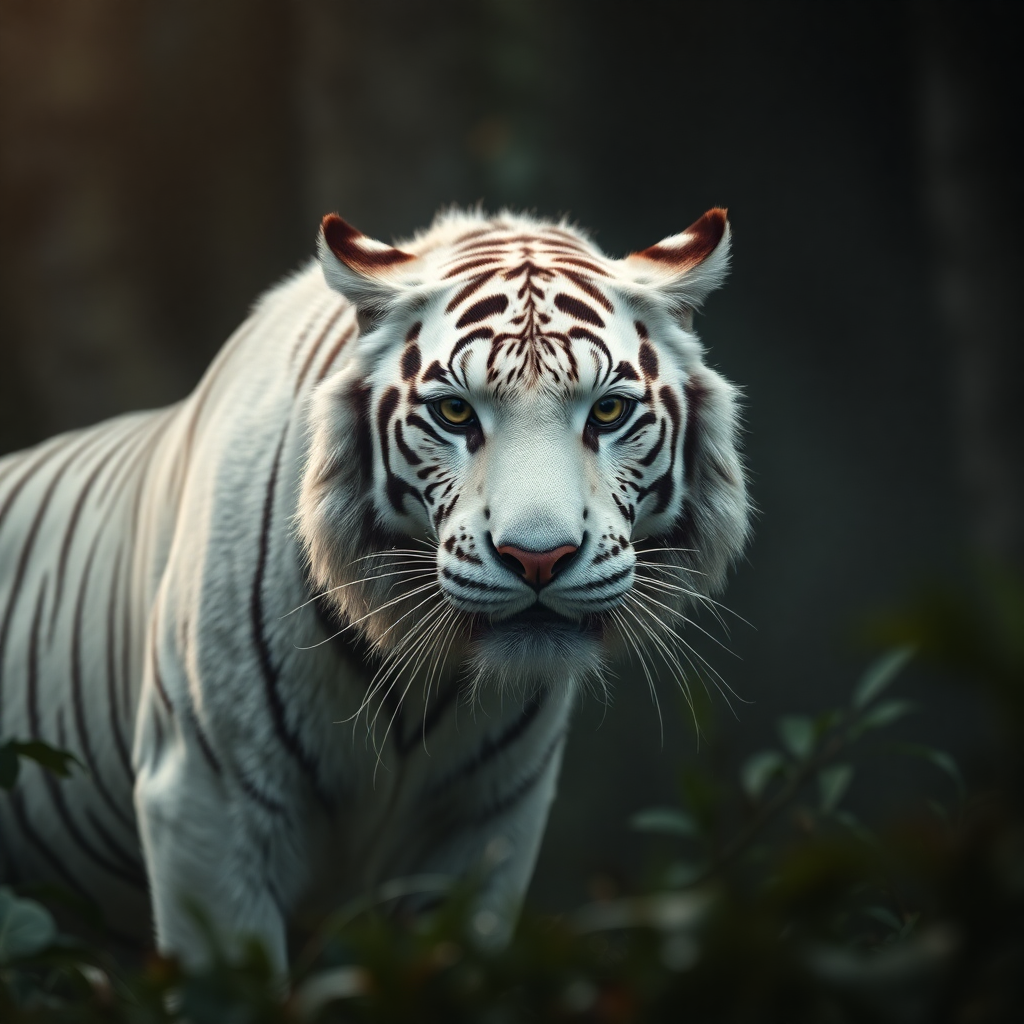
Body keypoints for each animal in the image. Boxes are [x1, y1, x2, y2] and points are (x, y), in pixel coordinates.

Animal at [0, 206, 749, 972]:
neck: (424, 677)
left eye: (607, 413)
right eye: (455, 414)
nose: (537, 558)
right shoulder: (206, 804)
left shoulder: (488, 828)